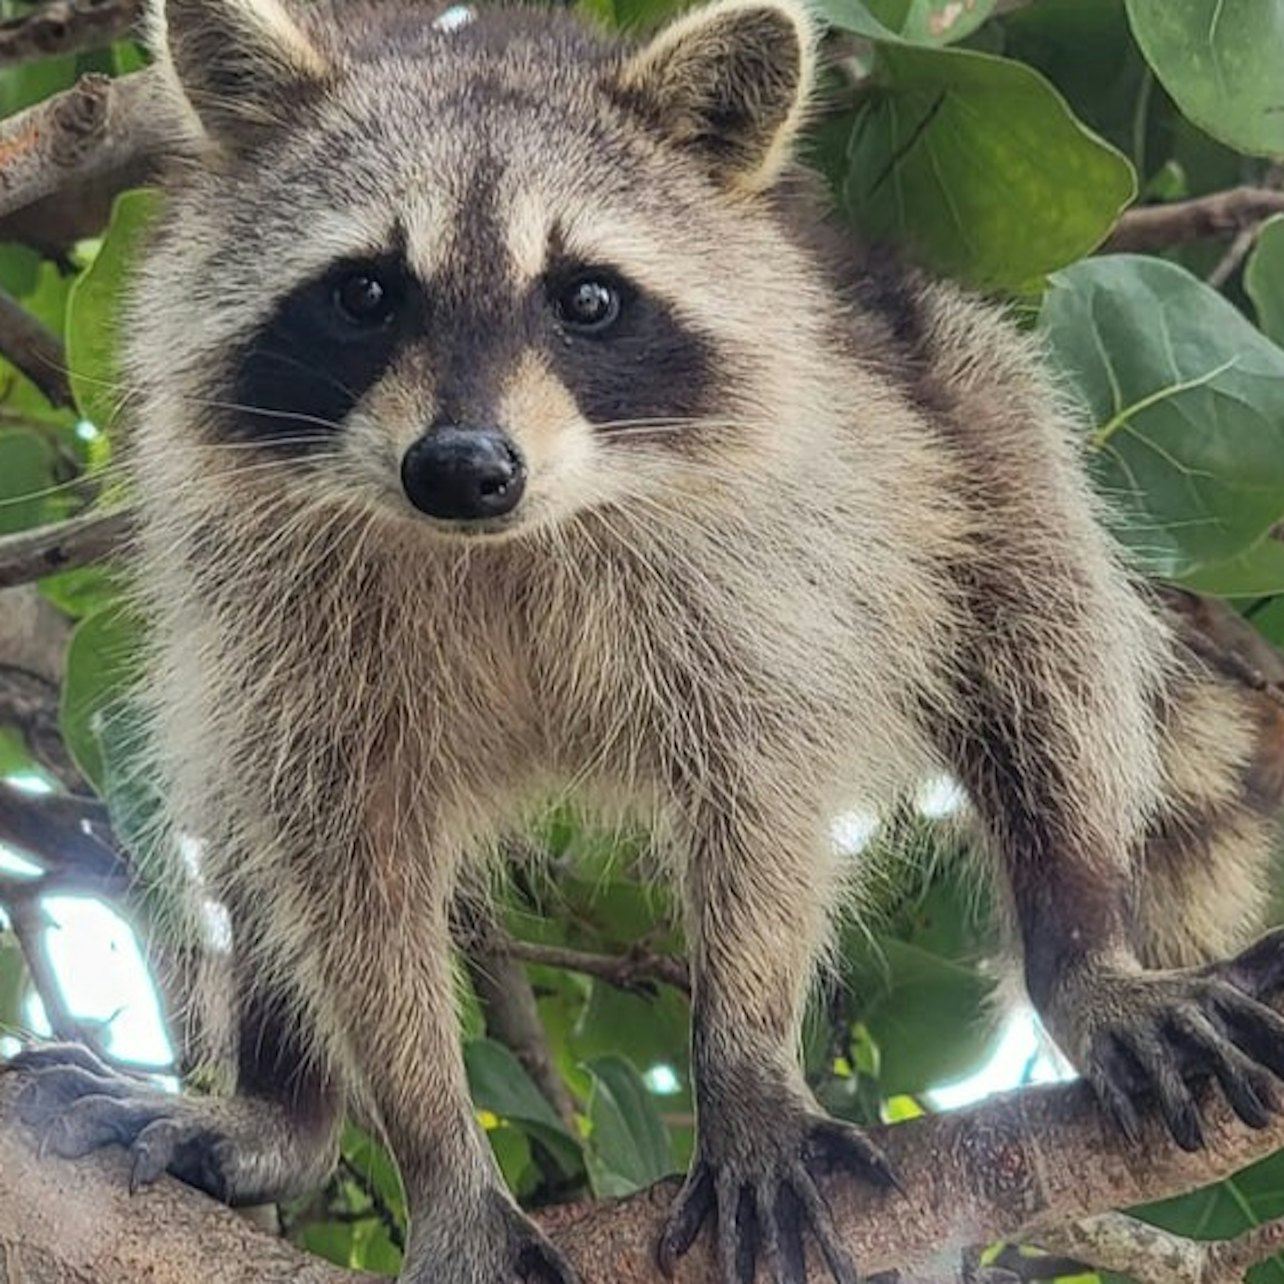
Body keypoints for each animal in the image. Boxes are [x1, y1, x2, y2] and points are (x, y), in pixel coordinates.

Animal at [15, 0, 1284, 1280]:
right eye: (365, 292)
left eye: (586, 300)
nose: (462, 468)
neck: (507, 540)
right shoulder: (271, 602)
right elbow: (343, 867)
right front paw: (438, 1155)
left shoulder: (770, 565)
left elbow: (764, 802)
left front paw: (746, 1064)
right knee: (241, 802)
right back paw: (286, 1107)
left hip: (957, 399)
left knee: (1042, 637)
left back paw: (1082, 942)